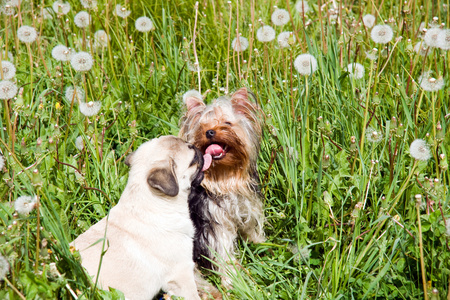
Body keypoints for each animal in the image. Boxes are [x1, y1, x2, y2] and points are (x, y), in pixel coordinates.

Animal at [178, 88, 264, 284]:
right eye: (202, 127)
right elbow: (222, 252)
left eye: (227, 123)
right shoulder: (213, 222)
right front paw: (232, 281)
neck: (224, 177)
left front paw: (263, 245)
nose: (210, 132)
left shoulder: (248, 206)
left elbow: (253, 229)